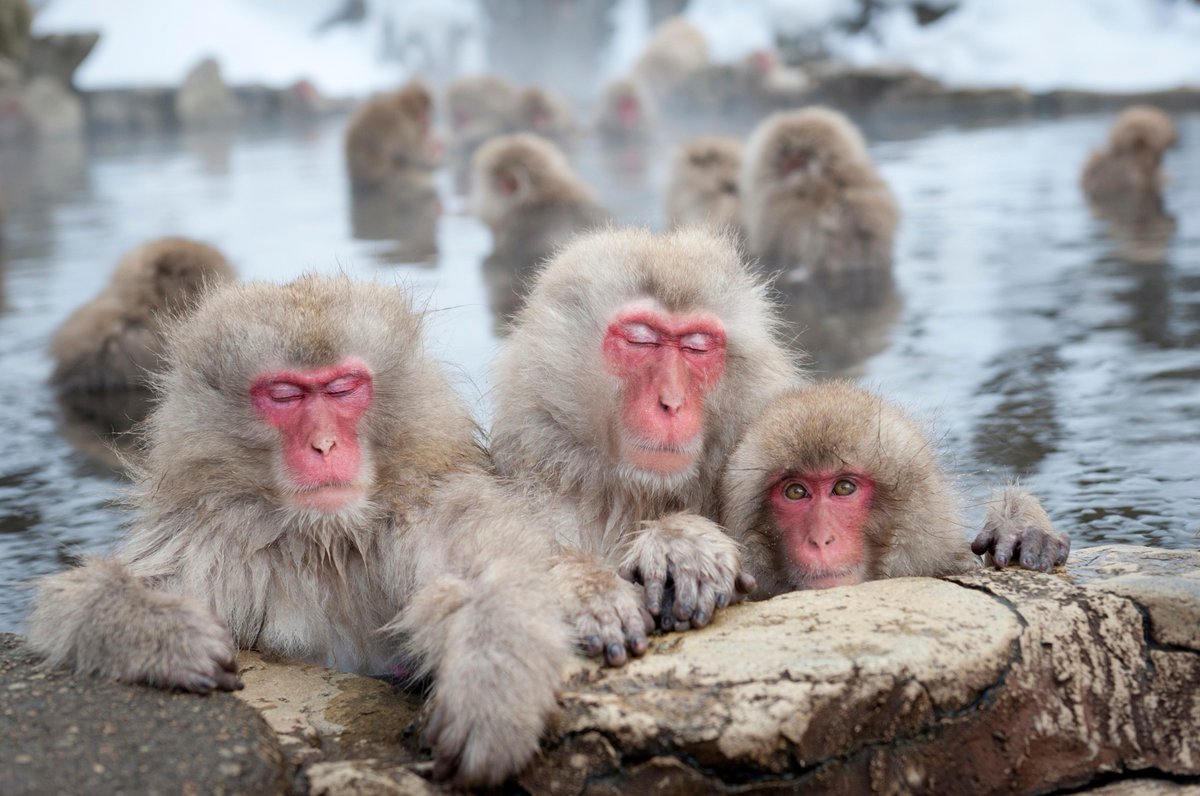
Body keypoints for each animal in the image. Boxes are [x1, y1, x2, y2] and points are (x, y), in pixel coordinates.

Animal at [28, 275, 572, 787]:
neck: (327, 539)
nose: (324, 444)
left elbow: (494, 574)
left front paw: (491, 693)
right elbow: (72, 601)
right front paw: (165, 634)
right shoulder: (209, 537)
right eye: (285, 395)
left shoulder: (430, 509)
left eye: (343, 388)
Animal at [490, 226, 804, 665]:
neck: (634, 496)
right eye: (640, 341)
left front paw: (682, 542)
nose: (671, 402)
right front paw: (589, 588)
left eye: (696, 346)